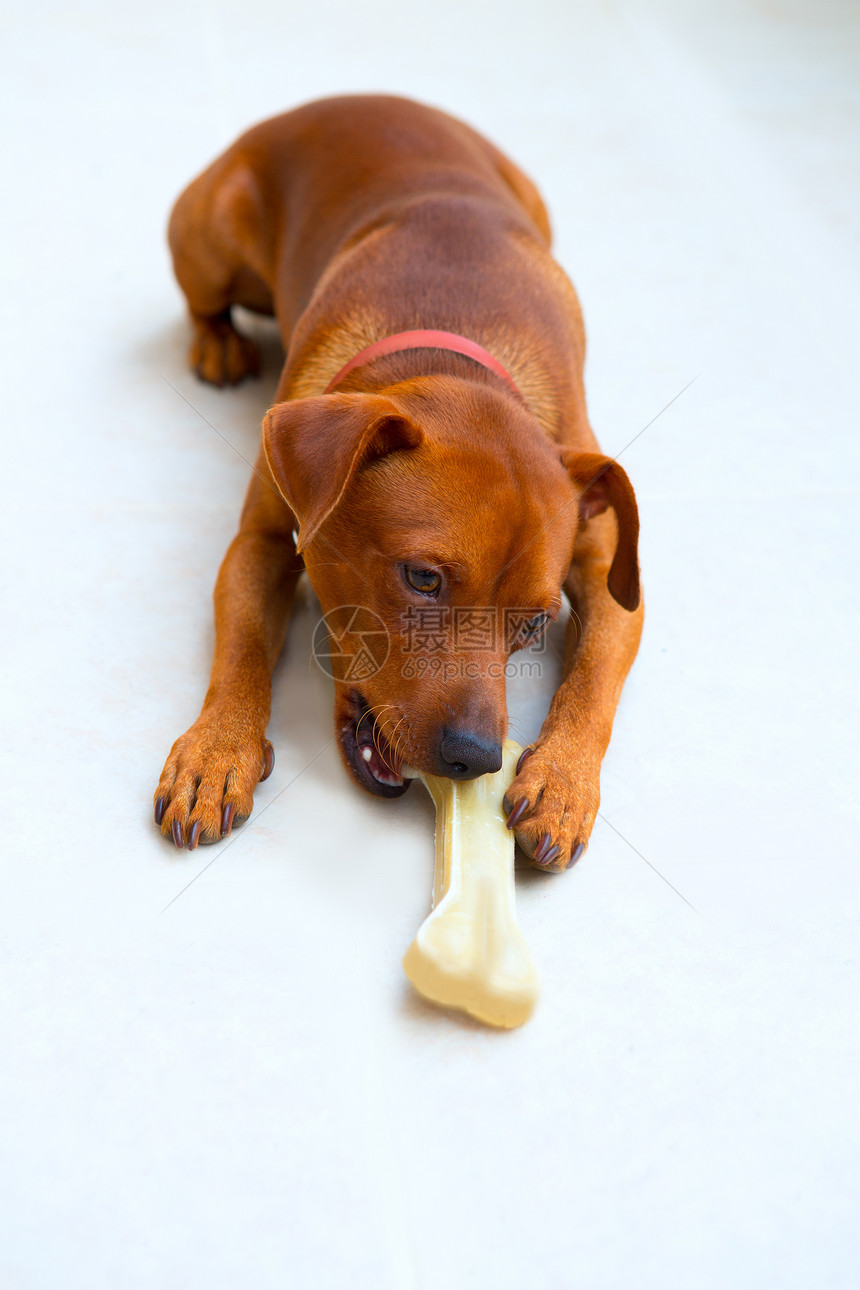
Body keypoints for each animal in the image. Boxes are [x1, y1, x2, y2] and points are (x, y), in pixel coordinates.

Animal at [154, 95, 642, 872]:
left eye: (535, 625)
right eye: (422, 579)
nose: (476, 757)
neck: (448, 345)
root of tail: (361, 97)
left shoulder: (608, 577)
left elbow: (595, 677)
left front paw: (563, 782)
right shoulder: (260, 543)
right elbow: (241, 647)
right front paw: (217, 748)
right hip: (209, 242)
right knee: (206, 302)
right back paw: (218, 341)